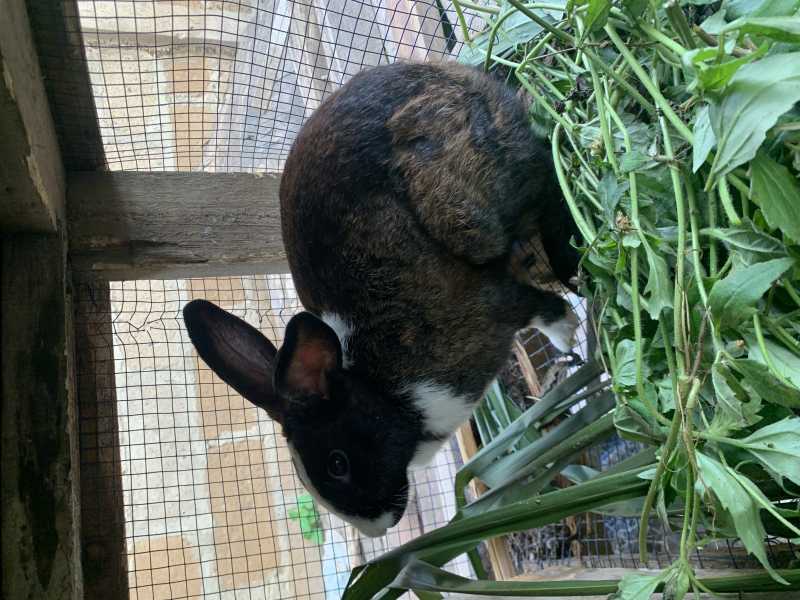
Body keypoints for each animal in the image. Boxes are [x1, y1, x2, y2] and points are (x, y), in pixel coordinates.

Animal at [183, 61, 581, 538]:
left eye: (338, 464)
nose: (379, 529)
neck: (385, 393)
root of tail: (468, 82)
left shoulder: (495, 306)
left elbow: (545, 312)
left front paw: (571, 337)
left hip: (464, 208)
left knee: (547, 180)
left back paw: (568, 260)